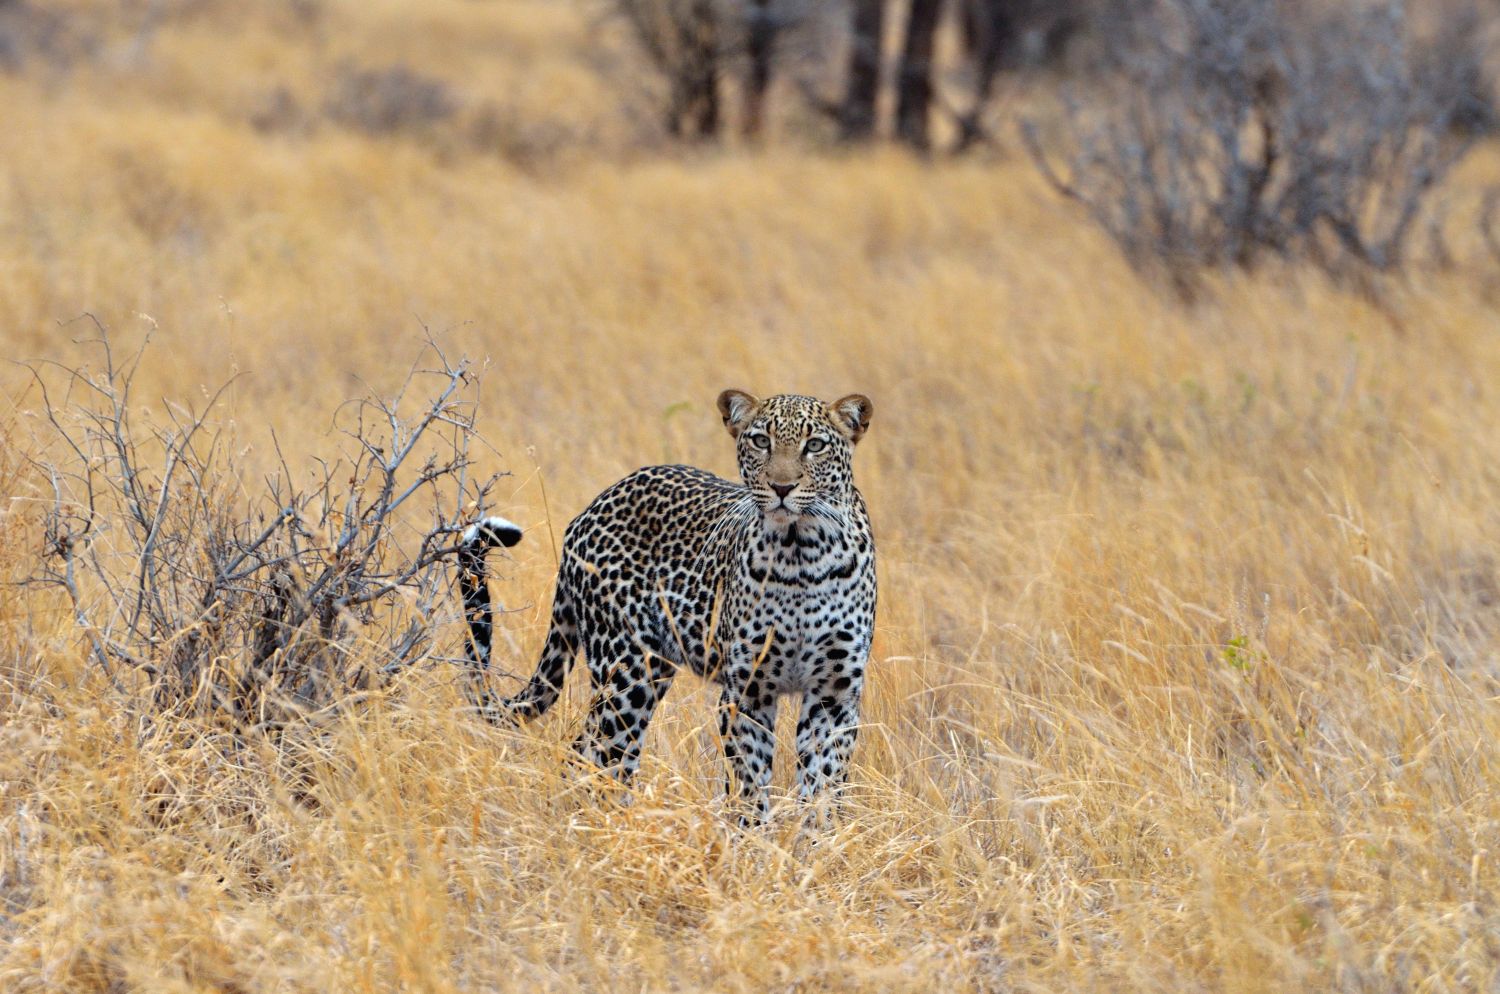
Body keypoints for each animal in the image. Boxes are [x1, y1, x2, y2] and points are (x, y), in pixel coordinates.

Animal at [458, 389, 876, 822]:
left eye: (815, 445)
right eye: (762, 441)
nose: (781, 487)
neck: (801, 554)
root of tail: (590, 509)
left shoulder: (833, 694)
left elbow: (823, 787)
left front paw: (815, 838)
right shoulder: (746, 691)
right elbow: (748, 787)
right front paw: (754, 837)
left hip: (650, 670)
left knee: (584, 754)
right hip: (626, 674)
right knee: (601, 759)